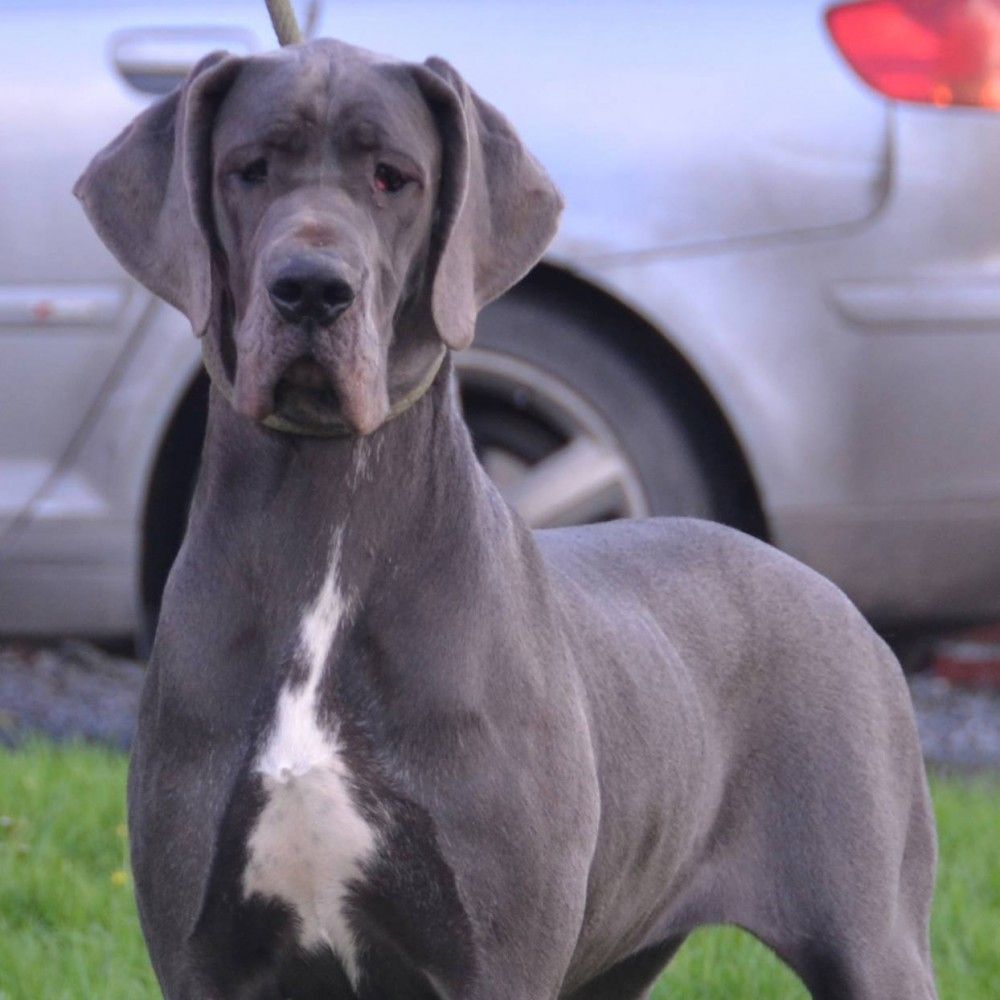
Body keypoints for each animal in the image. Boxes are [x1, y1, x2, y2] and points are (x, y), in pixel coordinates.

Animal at [76, 39, 938, 1000]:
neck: (324, 518)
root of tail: (832, 591)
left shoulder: (494, 954)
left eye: (393, 178)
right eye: (249, 170)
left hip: (871, 937)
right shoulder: (202, 955)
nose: (311, 289)